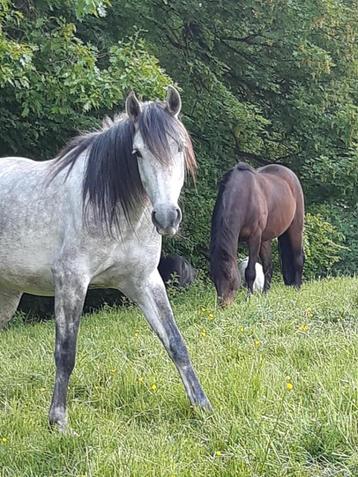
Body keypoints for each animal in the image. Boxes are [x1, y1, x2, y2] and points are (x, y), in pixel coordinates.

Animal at [210, 163, 304, 304]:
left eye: (229, 276)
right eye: (214, 278)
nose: (224, 305)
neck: (244, 197)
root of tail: (290, 174)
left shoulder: (254, 238)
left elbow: (250, 271)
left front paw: (248, 298)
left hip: (295, 228)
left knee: (298, 258)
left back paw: (297, 288)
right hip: (266, 239)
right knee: (268, 267)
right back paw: (265, 294)